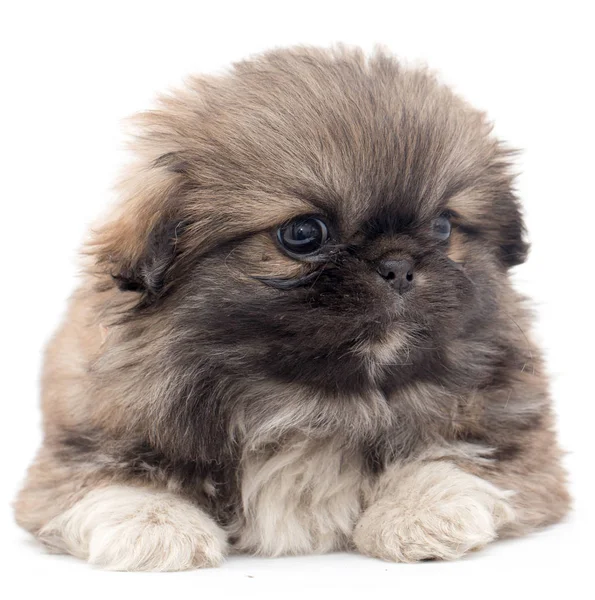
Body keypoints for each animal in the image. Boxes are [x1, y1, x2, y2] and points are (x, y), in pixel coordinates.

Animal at [14, 48, 572, 572]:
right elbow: (110, 480)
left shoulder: (521, 445)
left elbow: (457, 459)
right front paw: (154, 523)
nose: (397, 266)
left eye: (443, 227)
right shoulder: (75, 451)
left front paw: (420, 513)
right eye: (303, 233)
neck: (314, 401)